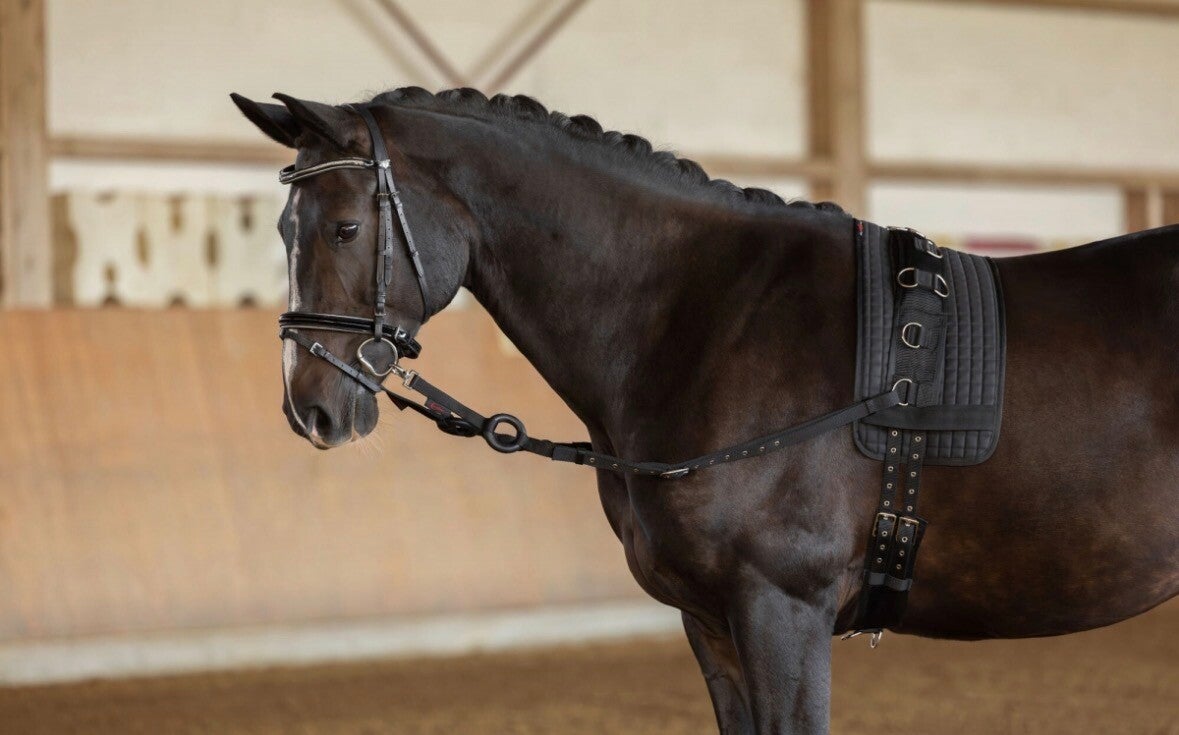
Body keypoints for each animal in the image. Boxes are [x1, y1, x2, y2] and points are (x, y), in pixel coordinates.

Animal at [231, 87, 1179, 734]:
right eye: (280, 230)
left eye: (345, 227)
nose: (309, 406)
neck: (704, 313)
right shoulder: (711, 620)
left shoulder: (781, 607)